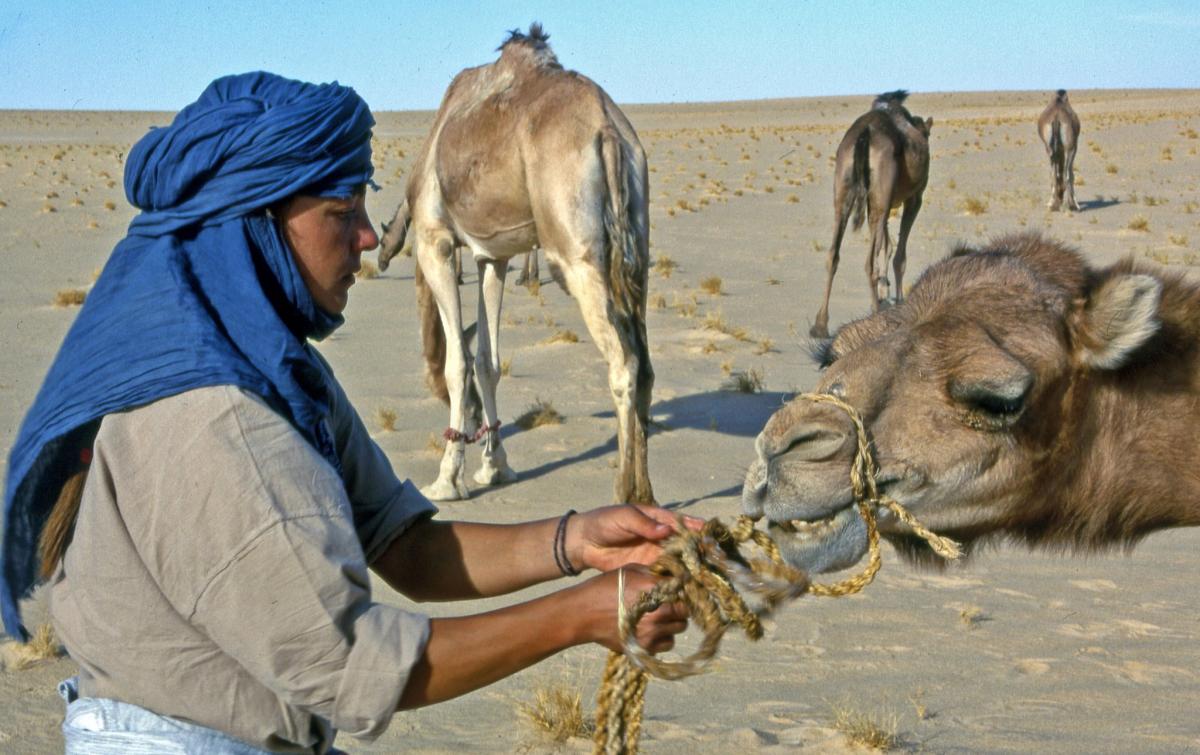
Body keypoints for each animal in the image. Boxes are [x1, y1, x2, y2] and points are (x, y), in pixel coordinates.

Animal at [376, 25, 652, 501]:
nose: (468, 418)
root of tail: (610, 133)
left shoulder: (435, 242)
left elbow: (457, 364)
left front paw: (447, 480)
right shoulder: (493, 257)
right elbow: (487, 361)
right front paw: (495, 467)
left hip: (574, 252)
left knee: (624, 363)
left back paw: (624, 493)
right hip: (638, 236)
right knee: (647, 367)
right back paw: (649, 496)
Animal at [811, 90, 931, 336]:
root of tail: (864, 134)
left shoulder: (875, 200)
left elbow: (886, 243)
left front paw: (886, 294)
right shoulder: (915, 197)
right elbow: (898, 254)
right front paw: (897, 301)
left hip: (845, 187)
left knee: (833, 252)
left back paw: (820, 325)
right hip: (883, 190)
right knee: (869, 261)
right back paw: (876, 314)